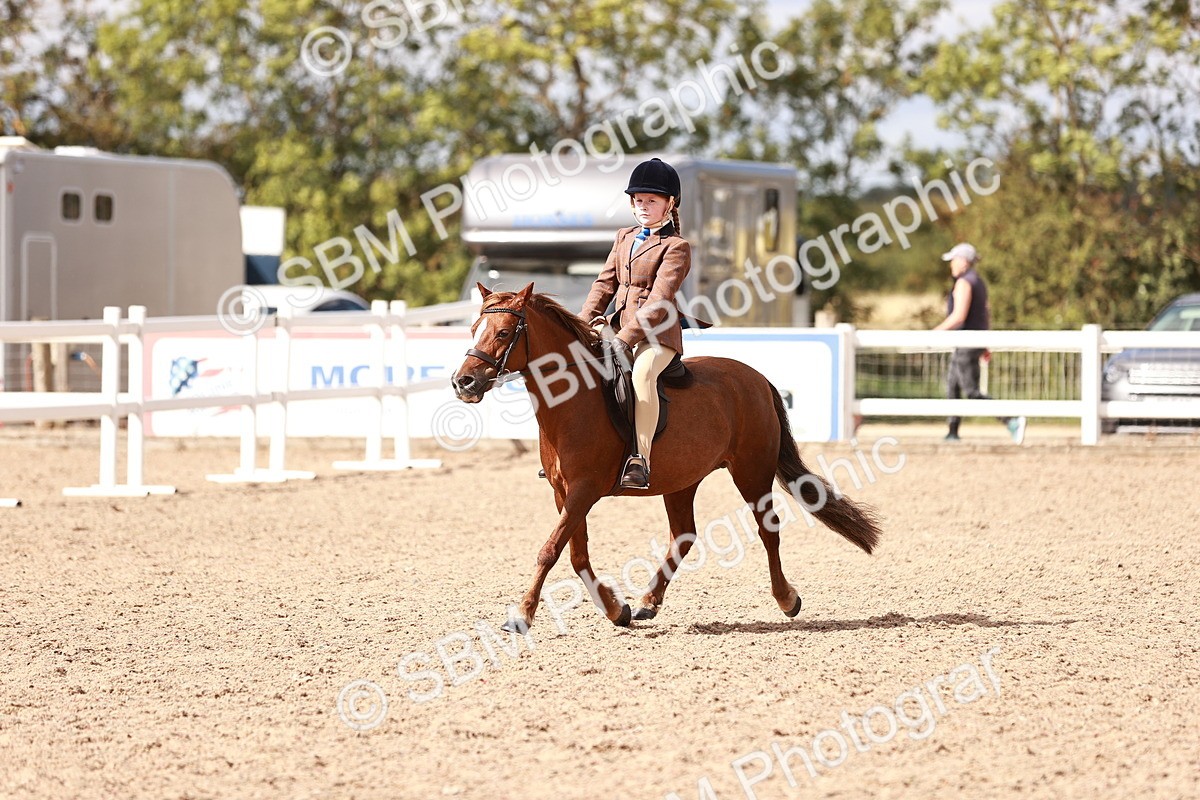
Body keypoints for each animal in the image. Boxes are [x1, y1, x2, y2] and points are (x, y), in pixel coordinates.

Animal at [451, 283, 881, 632]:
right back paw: (647, 602)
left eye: (503, 332)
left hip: (752, 471)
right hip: (682, 480)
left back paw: (787, 599)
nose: (463, 382)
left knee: (767, 529)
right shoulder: (564, 493)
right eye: (474, 330)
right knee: (684, 535)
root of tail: (756, 379)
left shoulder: (584, 490)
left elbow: (550, 551)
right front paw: (617, 610)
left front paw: (521, 615)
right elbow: (577, 554)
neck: (573, 401)